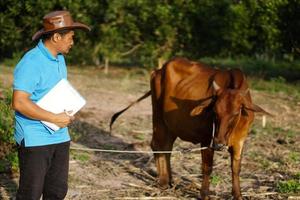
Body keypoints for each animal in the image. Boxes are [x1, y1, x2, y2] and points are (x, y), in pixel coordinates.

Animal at [110, 57, 272, 199]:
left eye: (236, 113)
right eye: (214, 111)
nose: (219, 143)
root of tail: (160, 69)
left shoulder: (240, 141)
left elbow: (236, 169)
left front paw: (238, 195)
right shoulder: (207, 140)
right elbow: (207, 167)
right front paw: (204, 195)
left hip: (171, 125)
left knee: (167, 147)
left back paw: (170, 180)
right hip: (158, 118)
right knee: (158, 145)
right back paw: (163, 182)